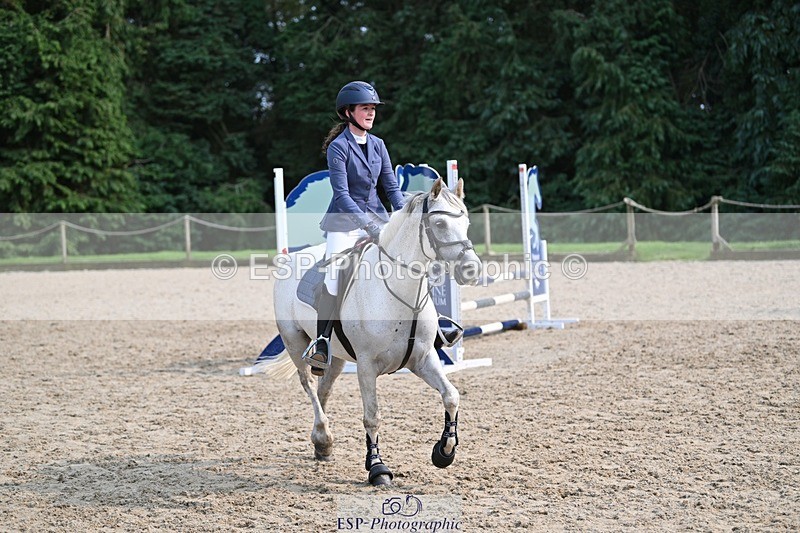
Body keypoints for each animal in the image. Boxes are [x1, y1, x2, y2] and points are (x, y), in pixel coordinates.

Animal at [269, 177, 482, 486]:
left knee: (324, 388)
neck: (401, 291)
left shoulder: (423, 359)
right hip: (295, 342)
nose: (471, 271)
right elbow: (372, 416)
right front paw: (377, 467)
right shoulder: (367, 366)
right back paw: (323, 435)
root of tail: (292, 257)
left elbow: (451, 396)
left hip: (336, 355)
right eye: (440, 224)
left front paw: (445, 451)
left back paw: (322, 443)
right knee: (308, 384)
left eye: (465, 222)